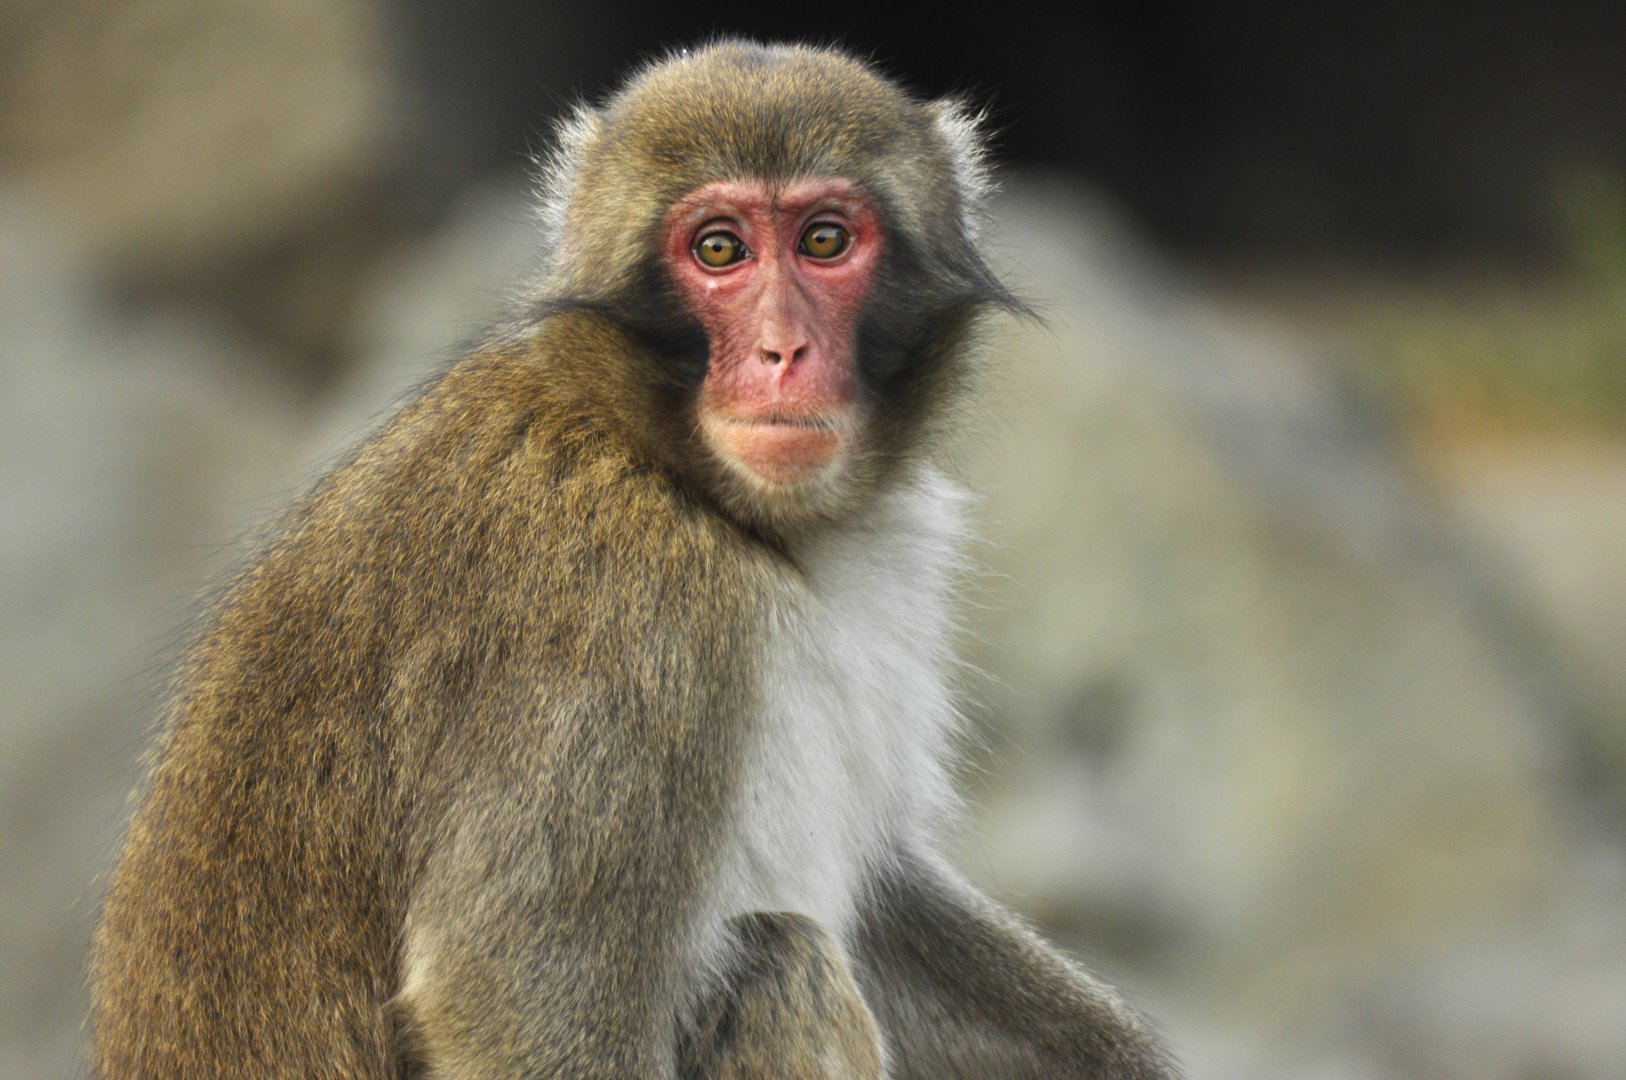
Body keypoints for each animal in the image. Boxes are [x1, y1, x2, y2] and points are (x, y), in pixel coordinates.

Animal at [89, 40, 1178, 1079]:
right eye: (719, 250)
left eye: (825, 240)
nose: (782, 352)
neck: (678, 474)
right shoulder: (619, 608)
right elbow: (514, 994)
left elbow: (886, 900)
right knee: (782, 963)